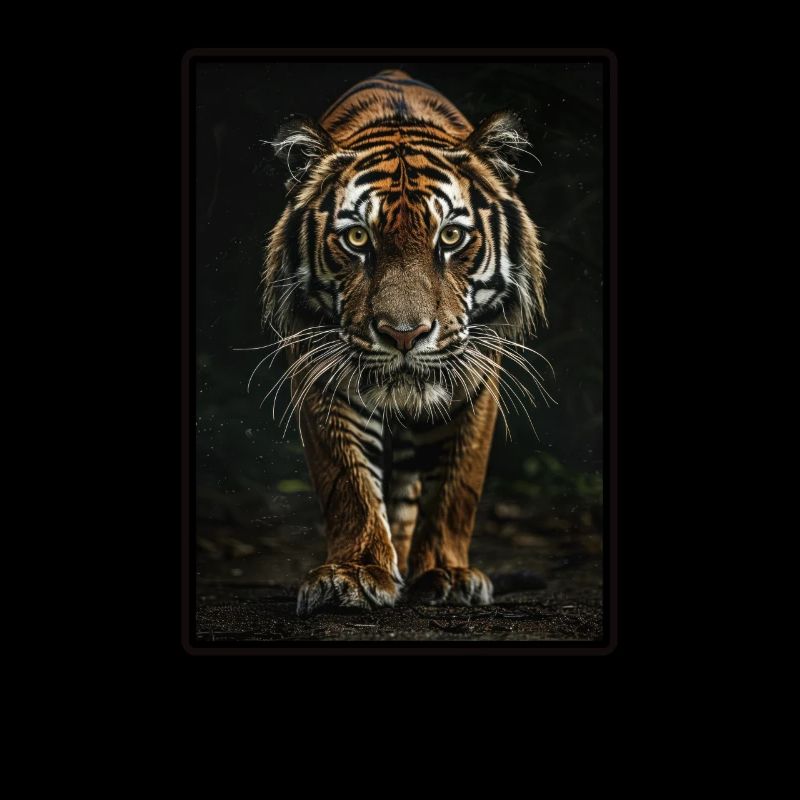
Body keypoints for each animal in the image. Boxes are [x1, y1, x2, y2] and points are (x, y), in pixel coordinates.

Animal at [260, 69, 547, 617]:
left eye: (451, 237)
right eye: (357, 239)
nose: (404, 333)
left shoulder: (477, 373)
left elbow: (456, 485)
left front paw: (447, 574)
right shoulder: (322, 368)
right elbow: (347, 479)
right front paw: (353, 575)